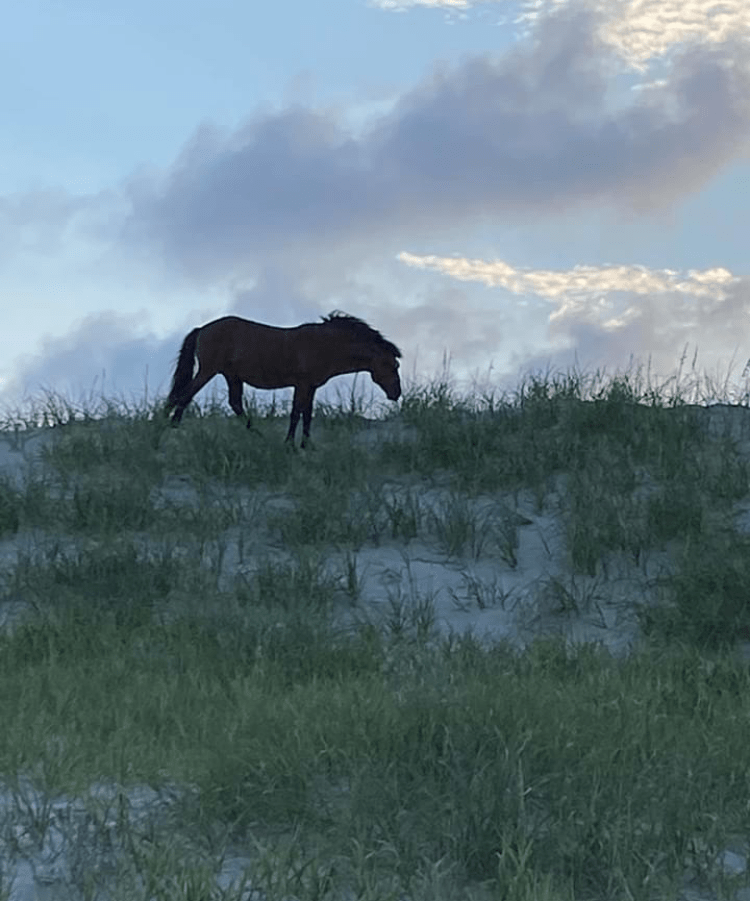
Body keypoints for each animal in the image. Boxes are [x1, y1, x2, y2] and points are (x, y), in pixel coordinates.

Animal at [165, 311, 402, 447]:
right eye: (393, 366)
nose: (396, 393)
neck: (326, 344)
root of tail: (202, 329)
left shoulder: (311, 387)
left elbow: (307, 415)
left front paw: (307, 444)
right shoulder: (302, 384)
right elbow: (296, 413)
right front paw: (290, 444)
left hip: (232, 376)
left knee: (235, 403)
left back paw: (258, 435)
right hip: (209, 371)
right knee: (186, 395)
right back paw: (174, 427)